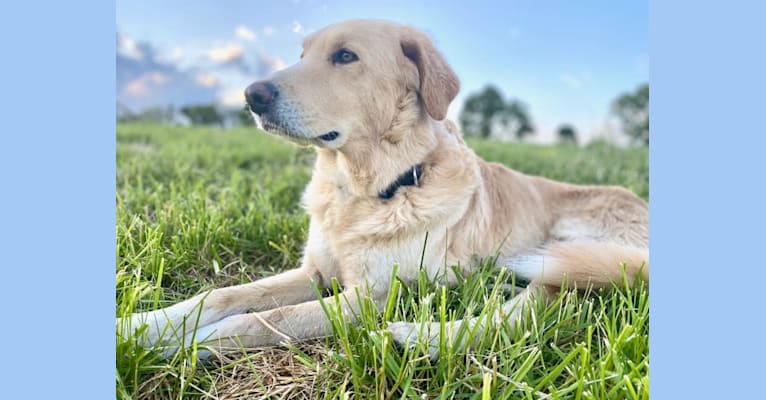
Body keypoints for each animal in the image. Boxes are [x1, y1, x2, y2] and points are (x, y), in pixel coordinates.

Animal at [120, 18, 648, 358]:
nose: (251, 95)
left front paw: (188, 344)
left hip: (576, 248)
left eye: (345, 56)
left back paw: (417, 337)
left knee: (532, 308)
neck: (367, 190)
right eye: (302, 55)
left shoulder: (369, 298)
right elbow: (220, 297)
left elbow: (257, 320)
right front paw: (139, 328)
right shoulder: (316, 272)